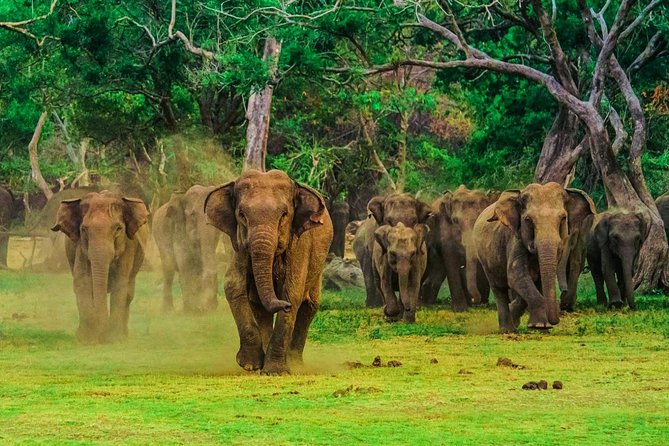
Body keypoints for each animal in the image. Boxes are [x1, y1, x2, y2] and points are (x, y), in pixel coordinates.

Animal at [51, 191, 149, 343]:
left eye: (118, 229)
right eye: (83, 229)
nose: (101, 336)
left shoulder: (129, 246)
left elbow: (120, 283)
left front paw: (113, 339)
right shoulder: (80, 247)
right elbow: (82, 281)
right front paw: (87, 339)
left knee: (128, 293)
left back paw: (124, 335)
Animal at [204, 169, 333, 375]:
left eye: (284, 215)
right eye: (241, 215)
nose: (283, 306)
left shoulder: (299, 244)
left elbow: (292, 293)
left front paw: (276, 372)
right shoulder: (238, 246)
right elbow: (233, 287)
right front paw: (250, 365)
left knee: (309, 306)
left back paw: (295, 364)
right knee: (259, 306)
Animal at [473, 183, 595, 333]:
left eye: (563, 218)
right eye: (528, 220)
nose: (556, 319)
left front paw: (540, 326)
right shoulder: (515, 240)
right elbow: (516, 275)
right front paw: (539, 326)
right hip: (485, 258)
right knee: (499, 288)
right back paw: (508, 329)